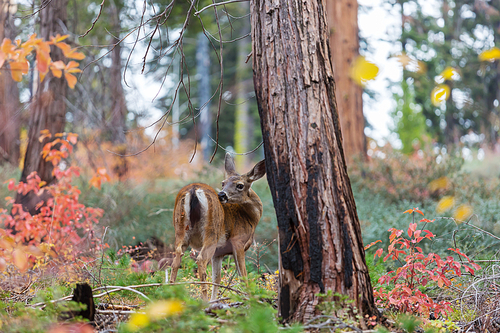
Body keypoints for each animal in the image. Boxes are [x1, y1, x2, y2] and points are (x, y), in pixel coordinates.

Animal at [169, 153, 266, 300]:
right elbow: (243, 277)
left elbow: (217, 278)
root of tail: (193, 190)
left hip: (180, 229)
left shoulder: (219, 253)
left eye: (240, 185)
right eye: (223, 183)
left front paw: (214, 301)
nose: (221, 194)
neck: (250, 219)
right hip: (212, 231)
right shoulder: (238, 241)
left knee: (176, 257)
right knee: (201, 260)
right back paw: (203, 300)